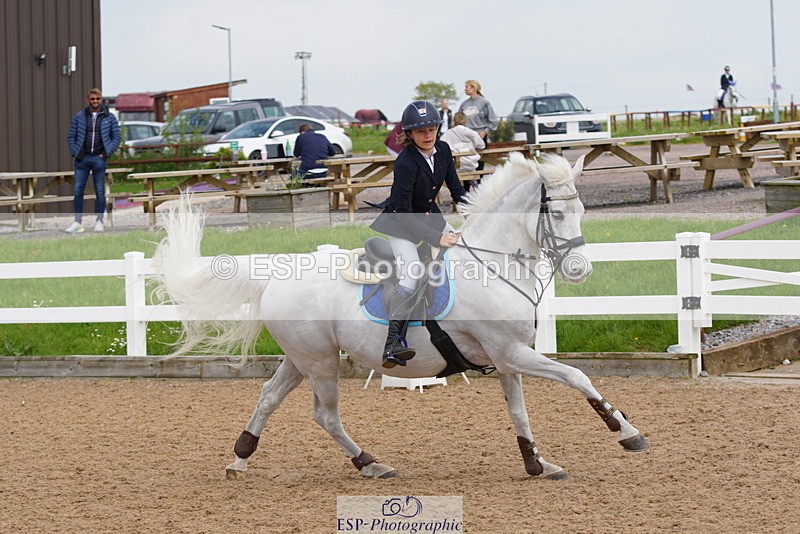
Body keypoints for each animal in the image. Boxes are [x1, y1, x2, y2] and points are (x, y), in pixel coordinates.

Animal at [152, 152, 649, 481]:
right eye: (556, 211)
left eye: (581, 209)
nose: (580, 271)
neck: (494, 264)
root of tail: (275, 276)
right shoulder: (512, 353)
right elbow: (578, 377)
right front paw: (625, 430)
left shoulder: (506, 358)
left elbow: (519, 413)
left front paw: (536, 462)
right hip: (320, 362)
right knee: (325, 415)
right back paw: (370, 463)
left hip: (301, 357)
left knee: (269, 397)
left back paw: (241, 457)